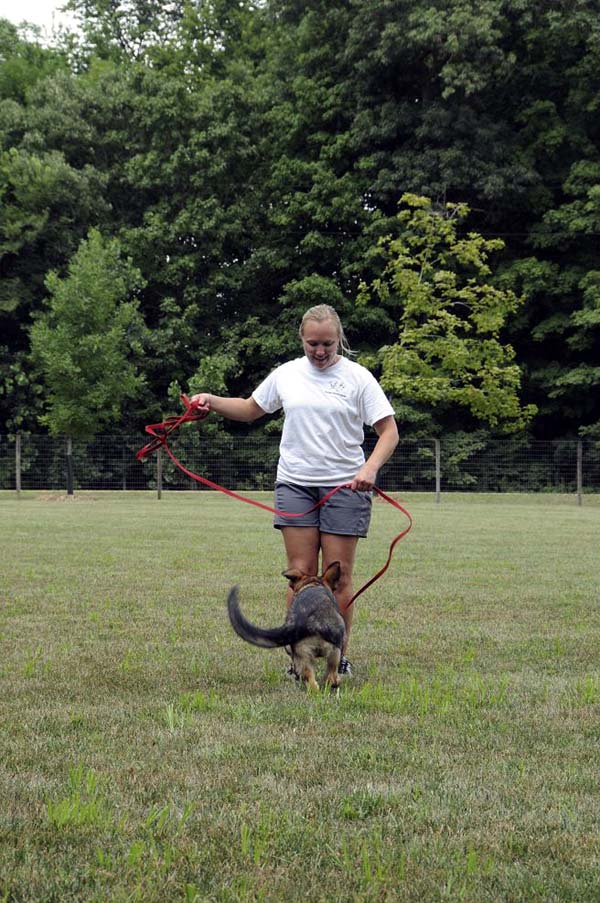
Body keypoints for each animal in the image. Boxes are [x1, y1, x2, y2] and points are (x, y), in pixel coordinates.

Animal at [226, 564, 346, 692]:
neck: (313, 585)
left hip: (299, 653)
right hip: (335, 651)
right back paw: (335, 683)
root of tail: (303, 620)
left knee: (310, 681)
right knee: (330, 676)